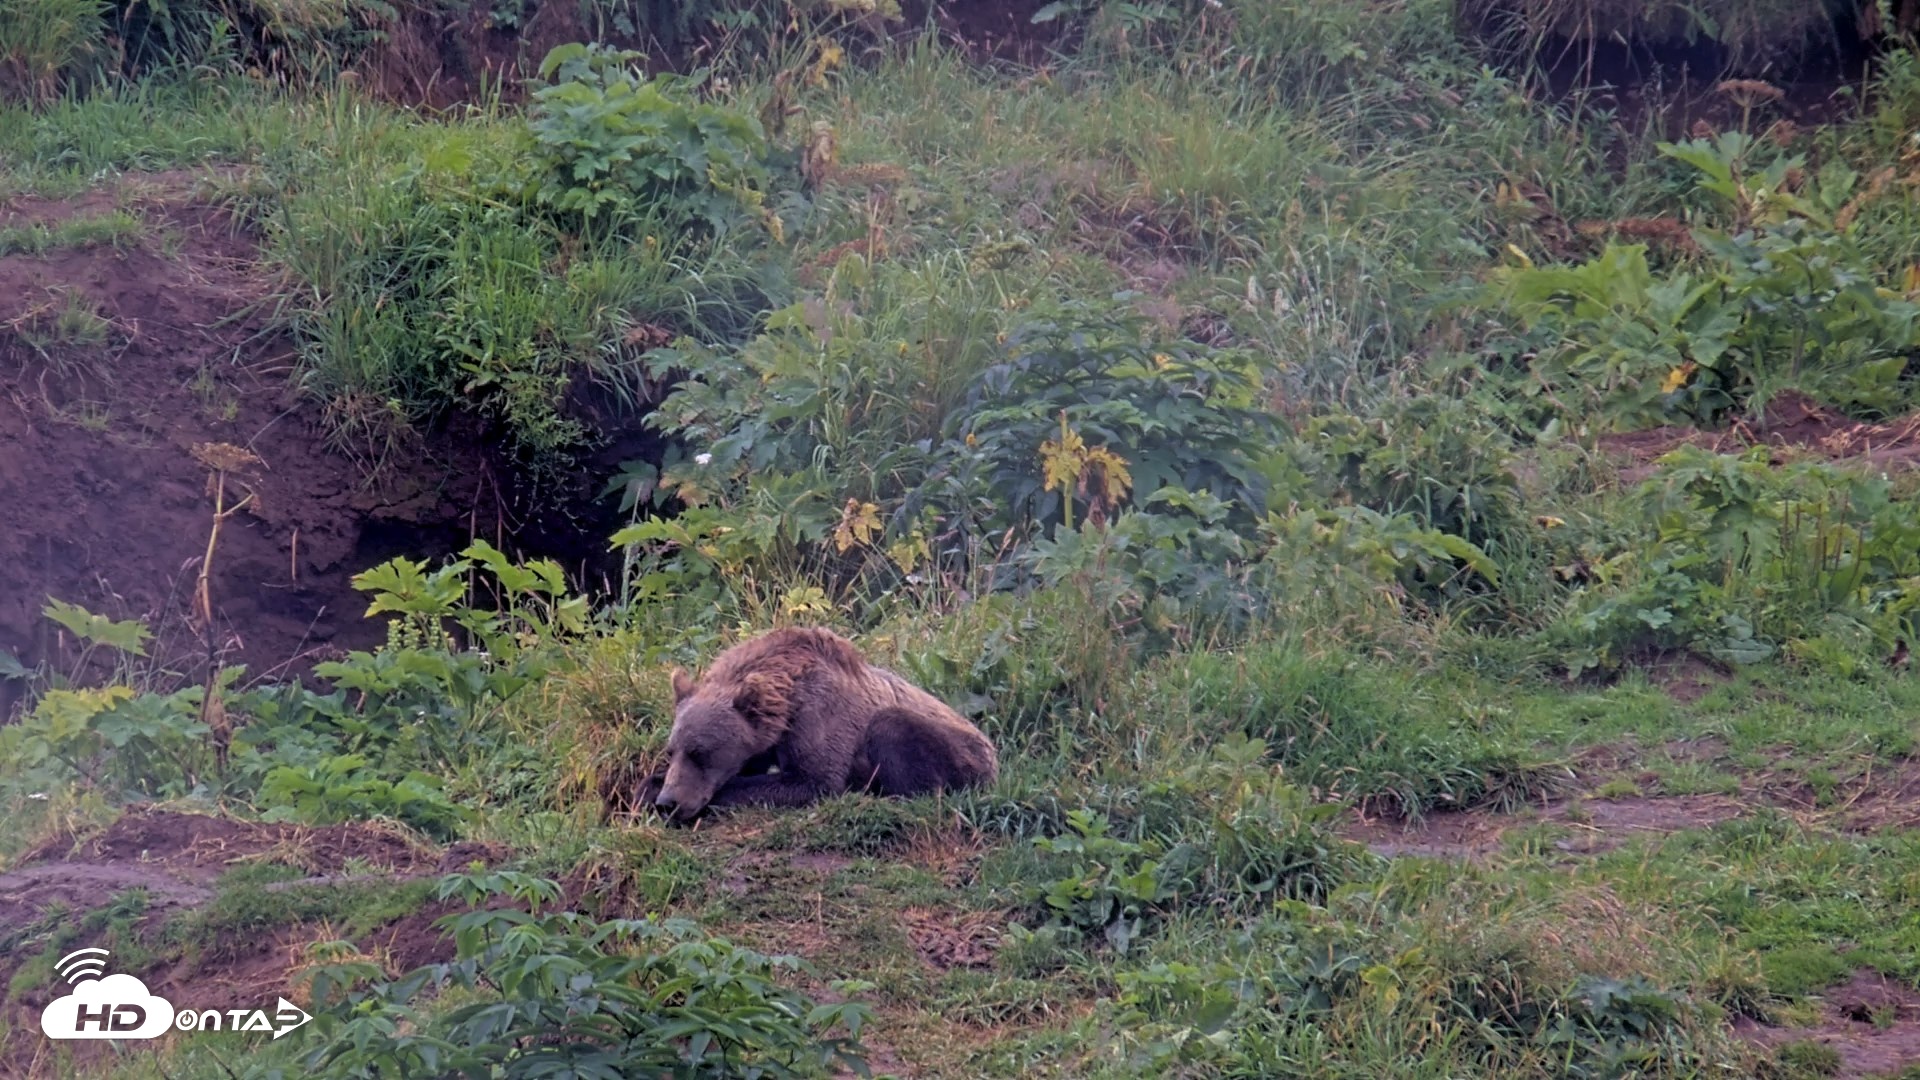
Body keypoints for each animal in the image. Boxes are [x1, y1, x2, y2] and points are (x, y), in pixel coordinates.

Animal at [637, 627, 998, 822]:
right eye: (672, 751)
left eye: (701, 752)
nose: (670, 803)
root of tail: (995, 755)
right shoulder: (764, 739)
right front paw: (648, 788)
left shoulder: (819, 716)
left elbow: (813, 780)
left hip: (962, 753)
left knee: (893, 728)